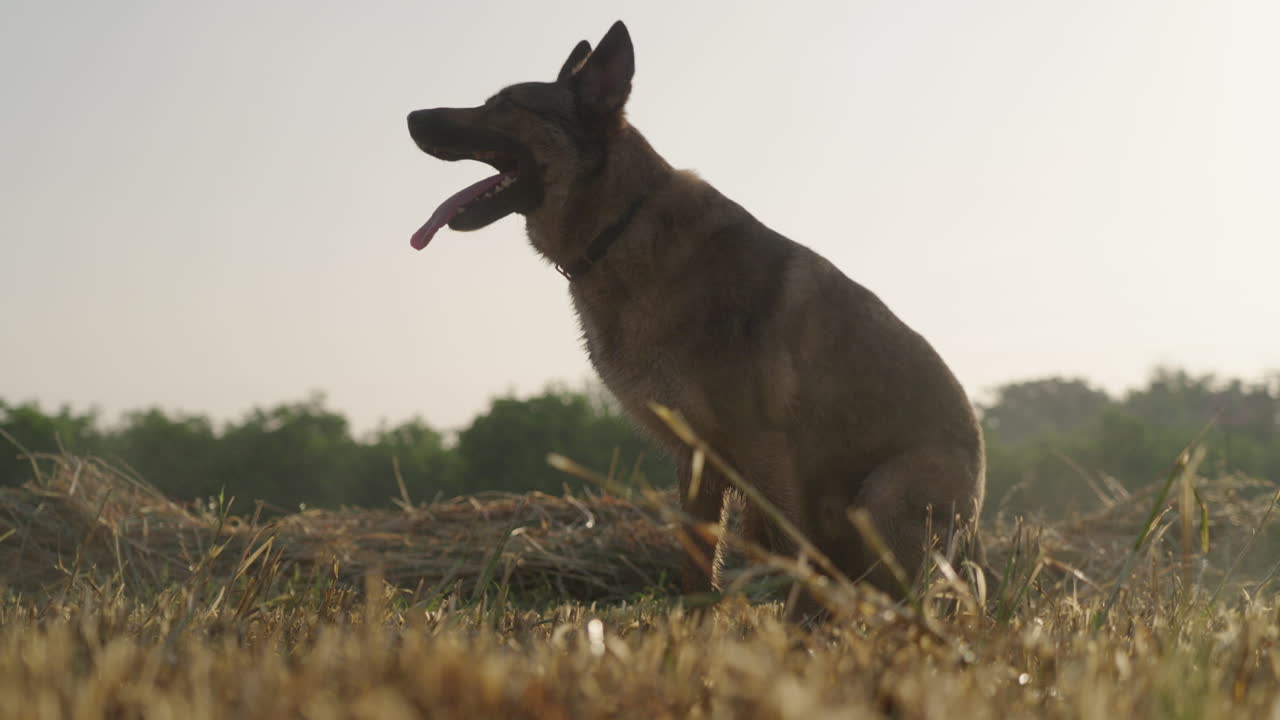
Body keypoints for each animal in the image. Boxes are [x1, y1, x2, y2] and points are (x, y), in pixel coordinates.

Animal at [406, 21, 986, 610]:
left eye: (505, 105)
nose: (411, 117)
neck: (620, 225)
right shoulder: (697, 460)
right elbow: (696, 567)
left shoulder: (767, 454)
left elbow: (790, 561)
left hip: (881, 496)